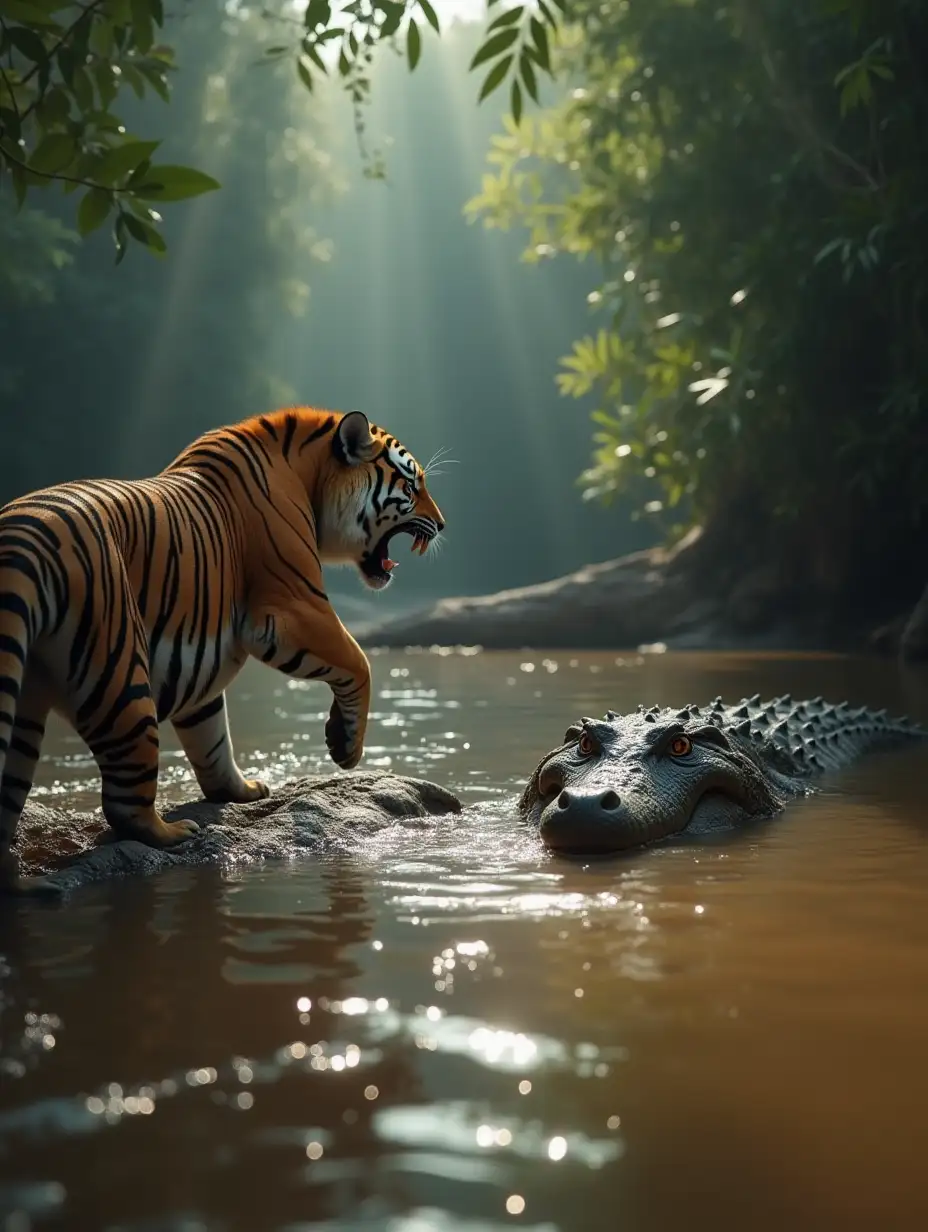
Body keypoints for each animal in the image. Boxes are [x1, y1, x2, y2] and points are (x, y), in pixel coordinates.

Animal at [0, 409, 446, 891]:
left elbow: (211, 735)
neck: (308, 476)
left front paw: (242, 792)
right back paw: (173, 832)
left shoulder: (197, 659)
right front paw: (344, 745)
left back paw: (20, 878)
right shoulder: (294, 609)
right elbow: (359, 662)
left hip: (25, 706)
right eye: (412, 486)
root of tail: (18, 538)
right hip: (119, 672)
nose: (442, 524)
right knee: (125, 799)